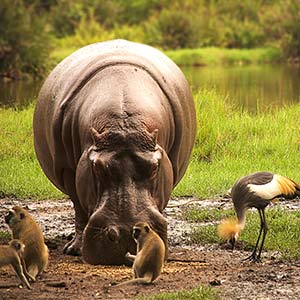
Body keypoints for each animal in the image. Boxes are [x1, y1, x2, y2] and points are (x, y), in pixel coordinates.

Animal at [33, 39, 197, 264]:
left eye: (155, 167)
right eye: (97, 167)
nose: (127, 233)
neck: (124, 125)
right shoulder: (68, 169)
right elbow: (79, 208)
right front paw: (75, 250)